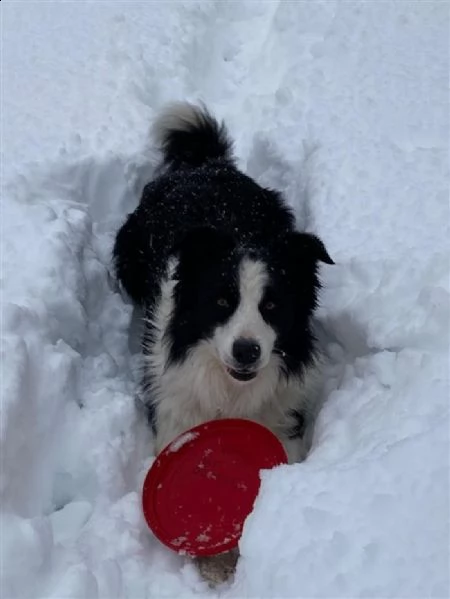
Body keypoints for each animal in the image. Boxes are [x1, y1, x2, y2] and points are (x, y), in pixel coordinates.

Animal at [112, 104, 330, 584]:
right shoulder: (176, 420)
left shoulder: (282, 422)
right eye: (221, 302)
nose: (247, 351)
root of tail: (205, 167)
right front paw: (217, 567)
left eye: (272, 306)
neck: (231, 391)